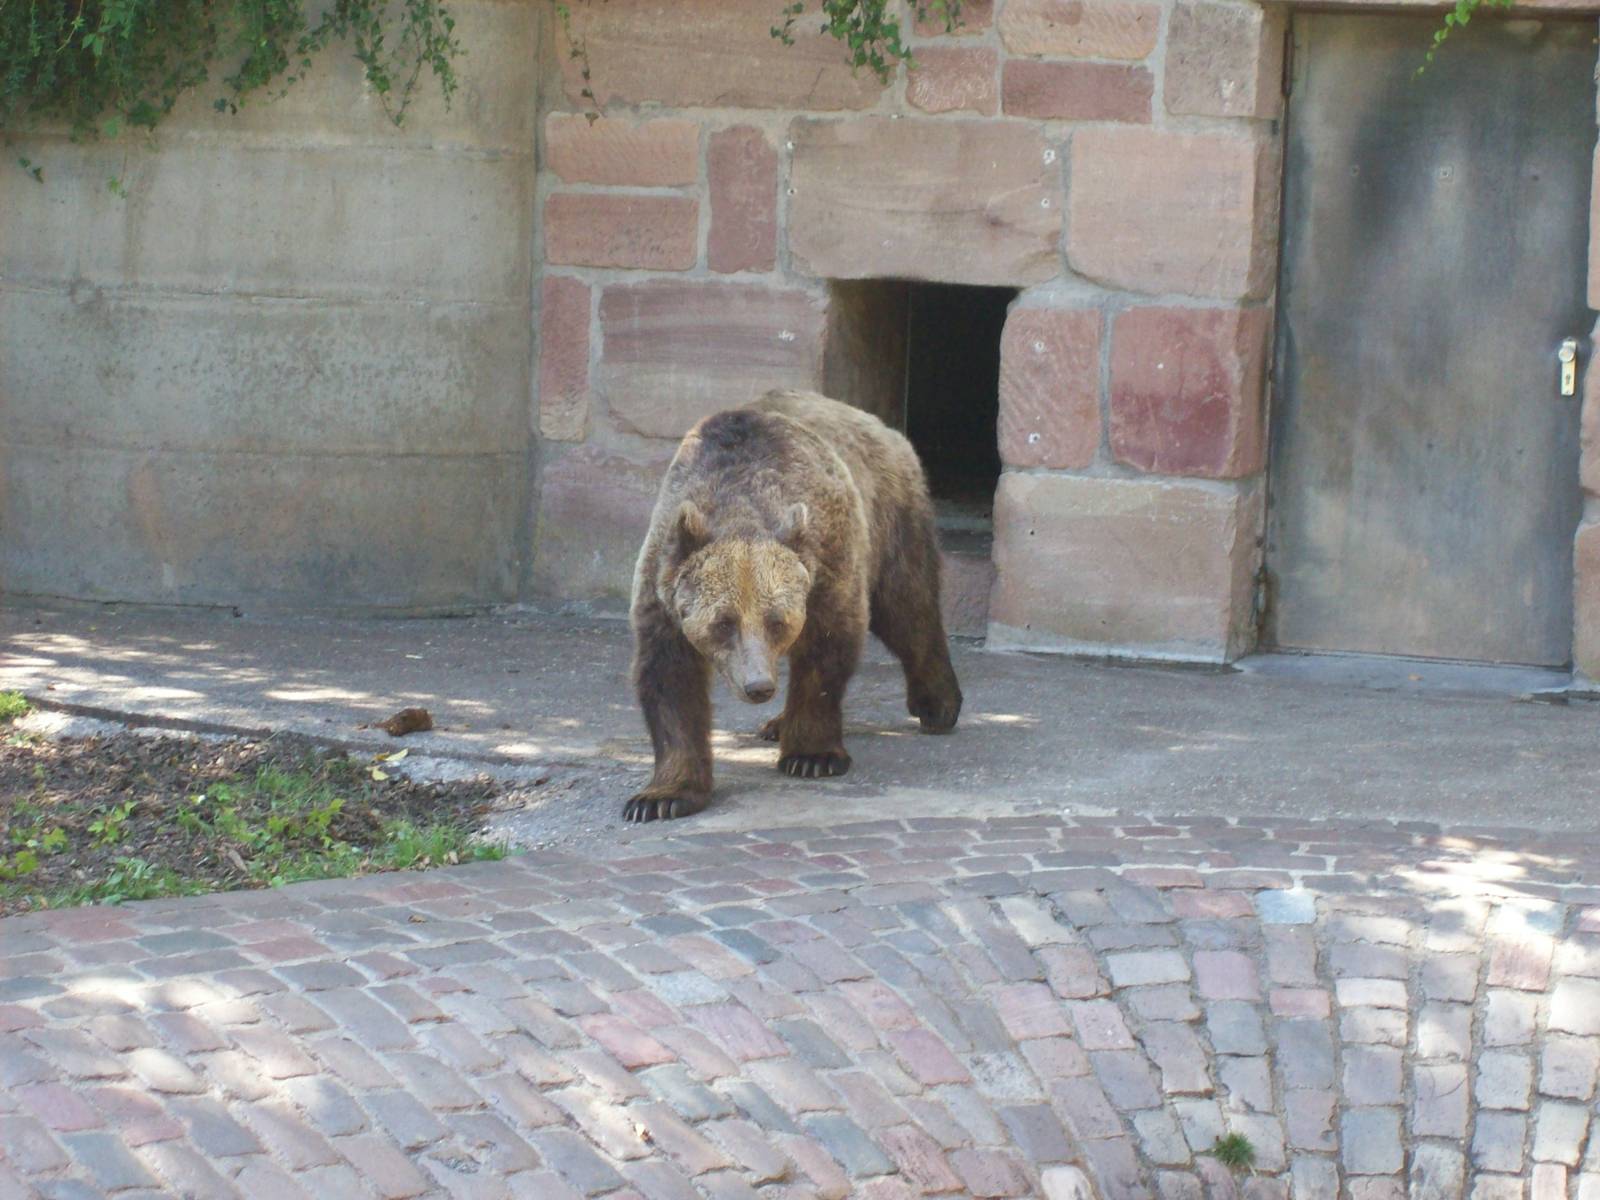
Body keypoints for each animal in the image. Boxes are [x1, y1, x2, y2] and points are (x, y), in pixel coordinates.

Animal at [624, 389, 963, 823]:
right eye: (723, 622)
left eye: (777, 621)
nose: (758, 686)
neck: (739, 498)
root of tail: (882, 426)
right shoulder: (664, 588)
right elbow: (669, 679)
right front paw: (661, 796)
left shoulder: (827, 557)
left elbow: (825, 651)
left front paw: (812, 756)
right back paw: (776, 723)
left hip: (891, 512)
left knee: (908, 606)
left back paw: (937, 704)